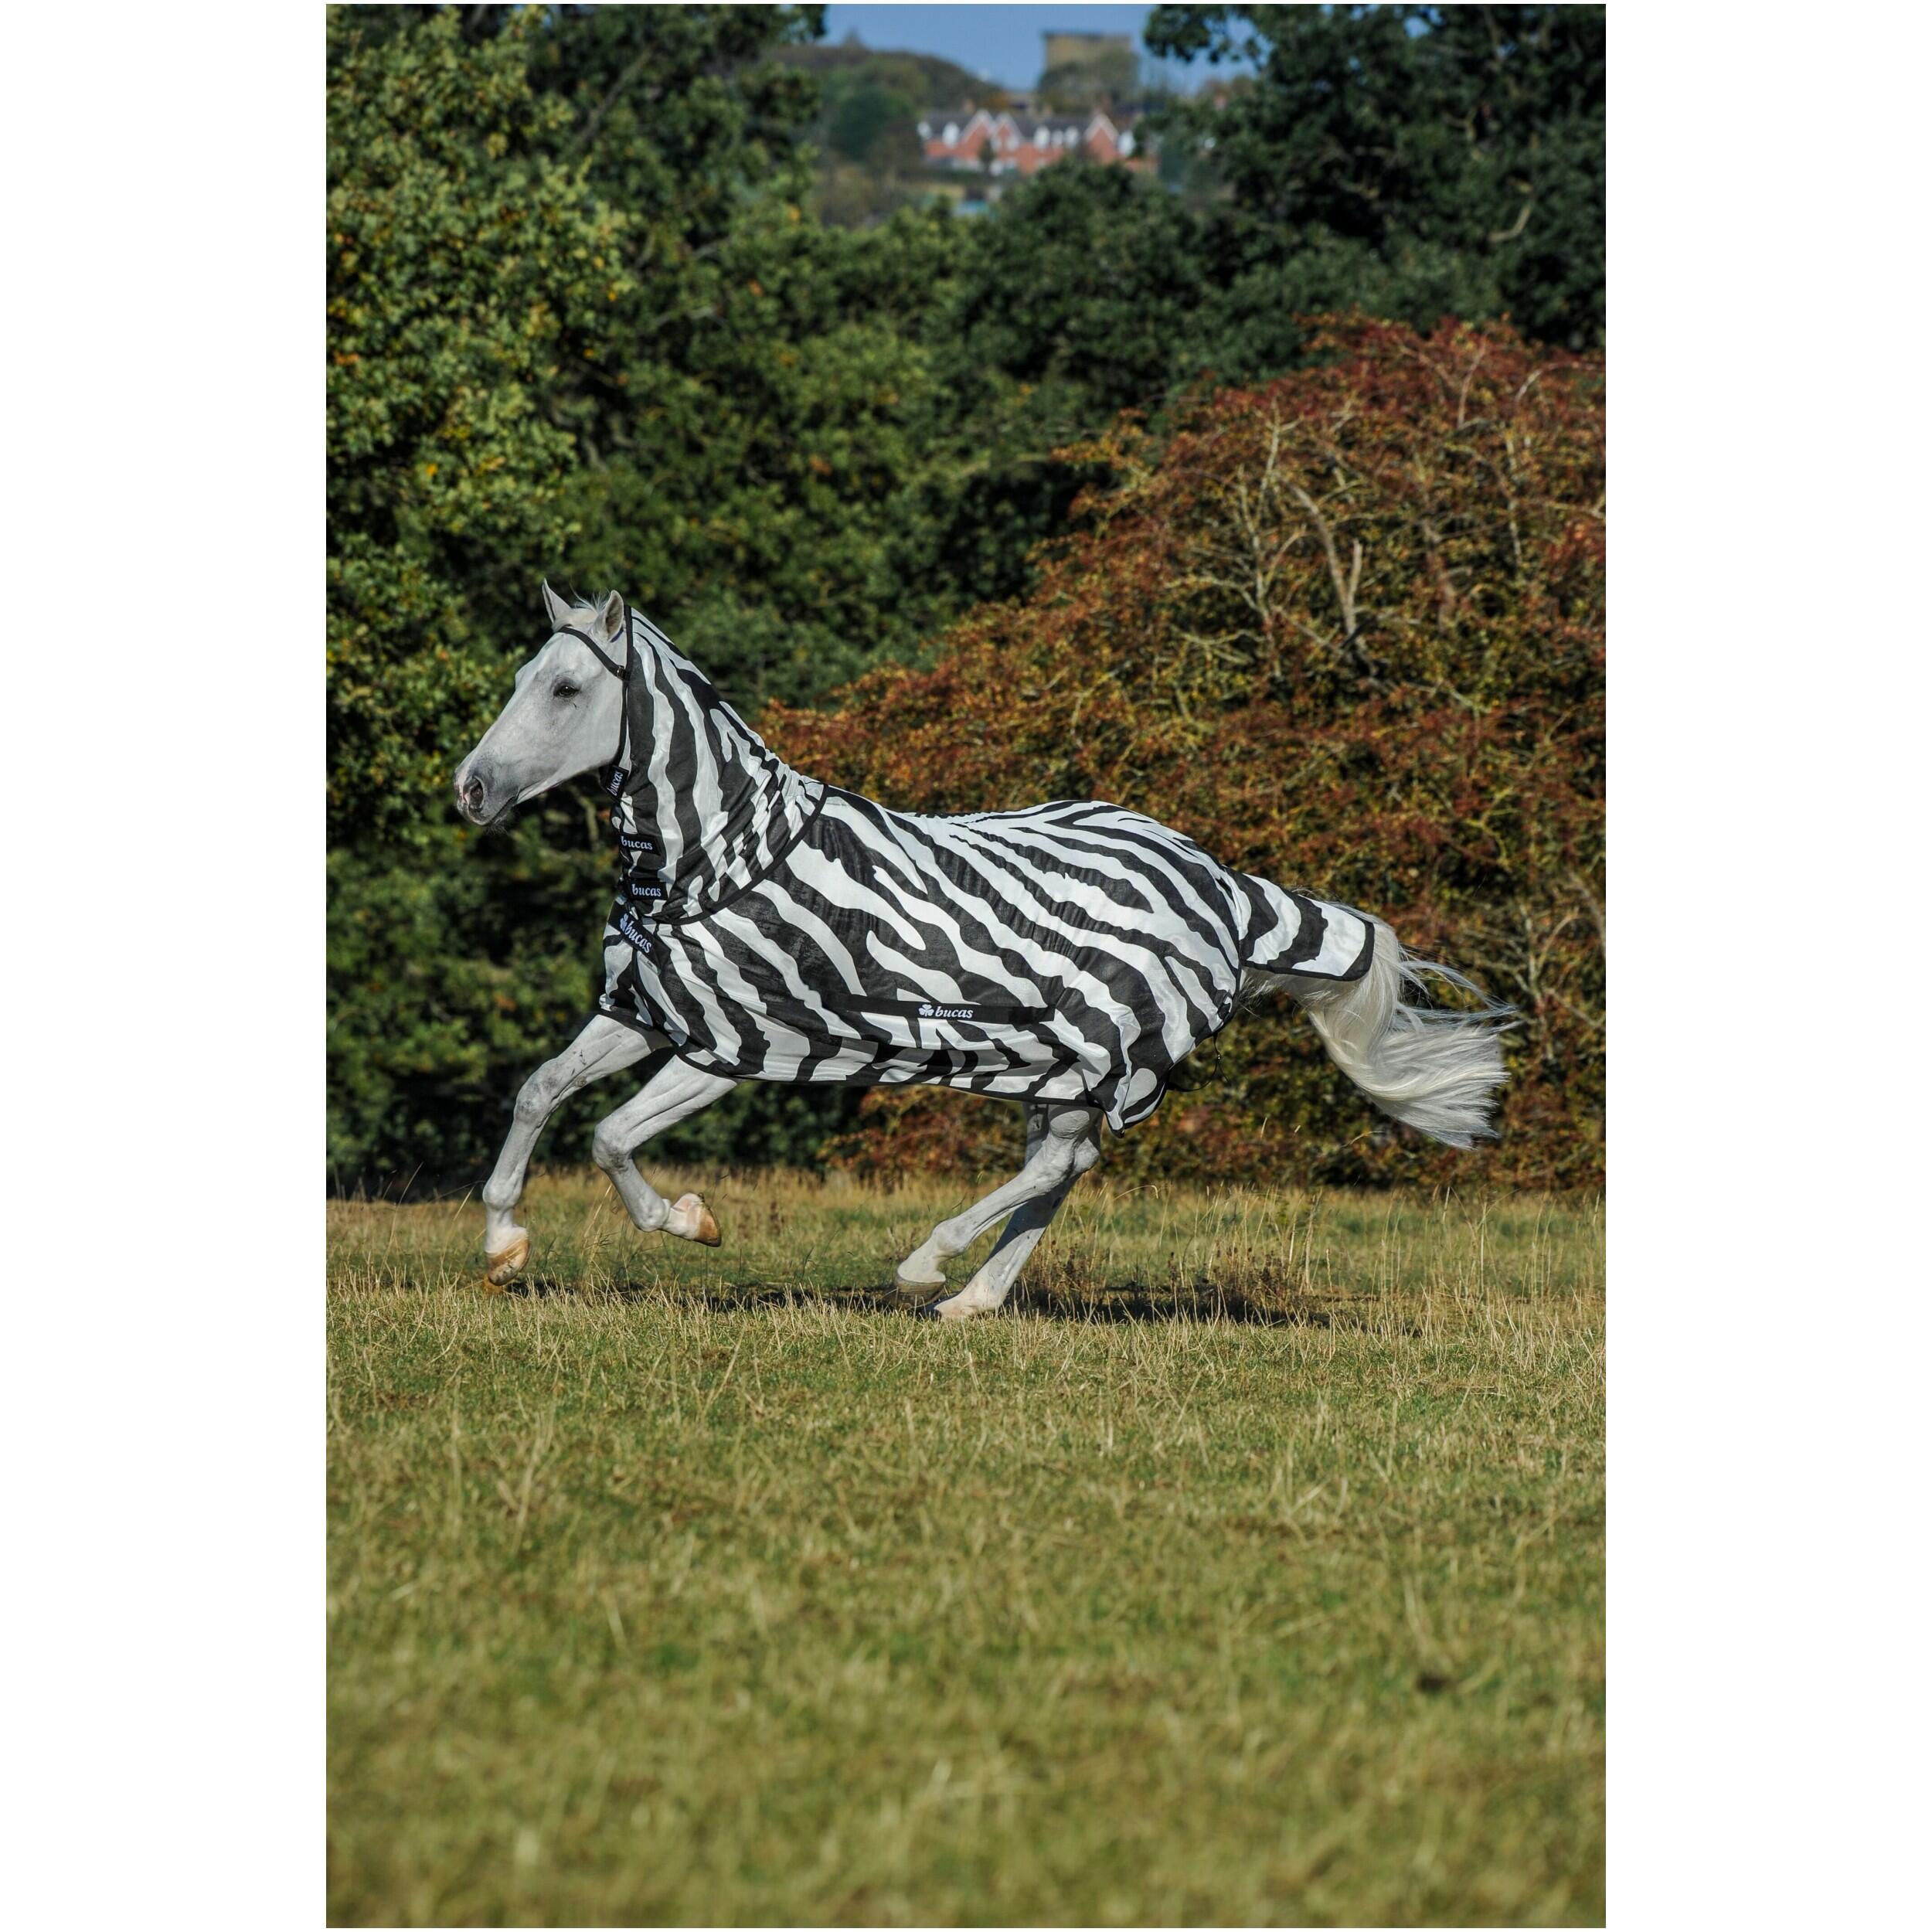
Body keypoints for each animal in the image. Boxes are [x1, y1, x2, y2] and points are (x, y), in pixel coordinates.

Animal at [452, 586, 1510, 1319]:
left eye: (566, 687)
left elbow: (608, 1136)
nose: (471, 789)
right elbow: (541, 1094)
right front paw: (504, 1243)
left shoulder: (736, 1043)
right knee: (1065, 1166)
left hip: (1103, 1051)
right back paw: (971, 1299)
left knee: (1058, 1164)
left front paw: (690, 1221)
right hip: (1065, 1064)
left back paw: (928, 1266)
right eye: (518, 678)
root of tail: (1225, 885)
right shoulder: (644, 1013)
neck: (715, 856)